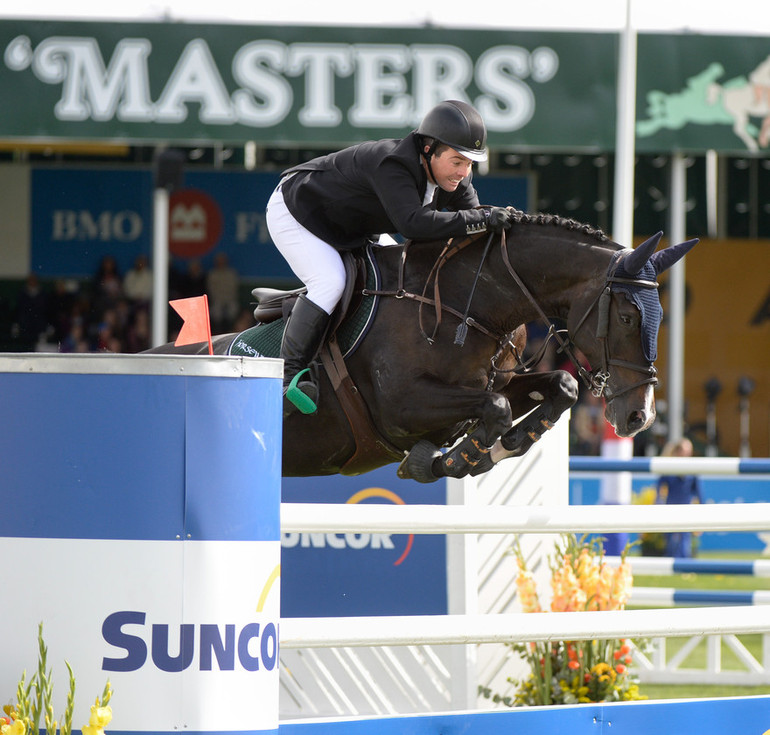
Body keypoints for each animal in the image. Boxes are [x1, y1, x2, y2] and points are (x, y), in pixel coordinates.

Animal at [144, 211, 696, 484]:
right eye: (625, 316)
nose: (639, 418)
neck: (467, 303)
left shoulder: (495, 381)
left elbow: (556, 385)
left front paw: (504, 446)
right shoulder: (401, 406)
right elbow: (494, 408)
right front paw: (448, 461)